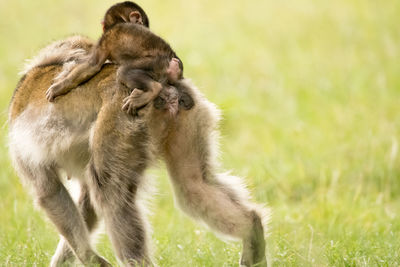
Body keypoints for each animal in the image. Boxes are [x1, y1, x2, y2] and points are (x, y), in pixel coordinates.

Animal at [7, 36, 268, 267]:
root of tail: (165, 87)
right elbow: (87, 203)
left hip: (121, 118)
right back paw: (252, 229)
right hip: (190, 115)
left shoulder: (21, 151)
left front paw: (87, 257)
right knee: (193, 187)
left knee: (109, 190)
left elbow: (48, 192)